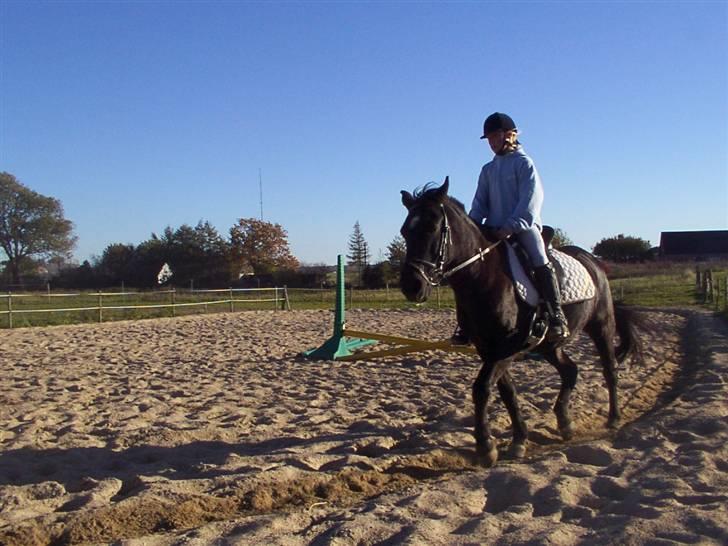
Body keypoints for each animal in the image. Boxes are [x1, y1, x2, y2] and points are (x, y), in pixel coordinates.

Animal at [398, 177, 644, 464]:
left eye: (432, 227)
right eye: (405, 232)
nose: (412, 286)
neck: (484, 277)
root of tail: (594, 262)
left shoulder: (508, 346)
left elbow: (481, 389)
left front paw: (486, 447)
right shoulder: (489, 348)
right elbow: (508, 392)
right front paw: (518, 440)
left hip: (601, 326)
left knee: (609, 370)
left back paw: (613, 418)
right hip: (549, 345)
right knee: (570, 371)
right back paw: (565, 423)